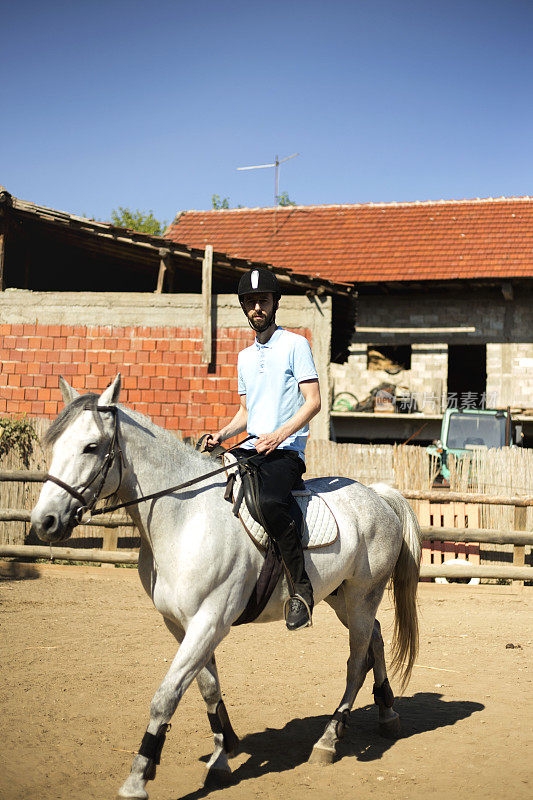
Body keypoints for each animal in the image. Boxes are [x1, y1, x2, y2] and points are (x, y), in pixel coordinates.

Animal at [31, 376, 422, 800]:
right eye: (54, 445)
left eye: (91, 447)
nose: (44, 522)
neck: (185, 519)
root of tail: (376, 495)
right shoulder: (181, 625)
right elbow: (206, 688)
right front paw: (222, 756)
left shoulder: (210, 622)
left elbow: (166, 696)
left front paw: (138, 777)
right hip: (342, 598)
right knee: (375, 639)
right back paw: (387, 712)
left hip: (364, 595)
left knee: (355, 663)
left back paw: (329, 739)